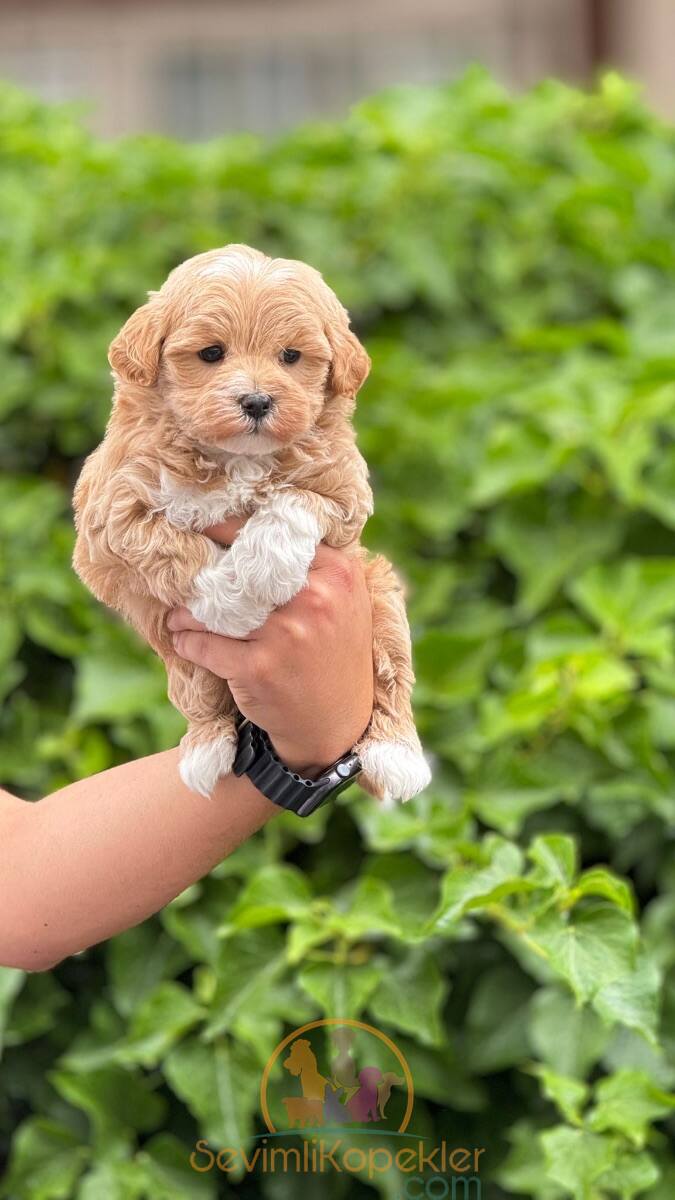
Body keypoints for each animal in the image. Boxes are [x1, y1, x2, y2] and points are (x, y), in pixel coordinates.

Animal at [70, 241, 427, 806]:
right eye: (212, 354)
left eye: (291, 356)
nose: (257, 400)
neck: (235, 459)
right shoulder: (107, 517)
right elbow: (171, 546)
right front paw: (233, 604)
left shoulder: (345, 495)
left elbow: (293, 501)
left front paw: (261, 575)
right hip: (175, 647)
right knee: (195, 686)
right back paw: (205, 748)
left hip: (379, 593)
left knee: (392, 667)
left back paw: (399, 756)